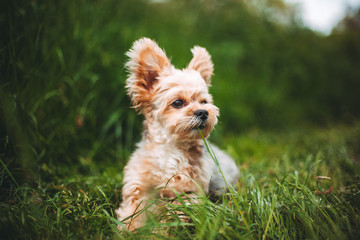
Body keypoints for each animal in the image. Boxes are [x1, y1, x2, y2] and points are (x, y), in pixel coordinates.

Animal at [115, 37, 239, 231]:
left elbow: (170, 219)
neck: (170, 150)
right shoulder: (139, 188)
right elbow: (133, 213)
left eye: (204, 102)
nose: (203, 112)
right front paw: (129, 231)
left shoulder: (185, 194)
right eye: (178, 103)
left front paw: (157, 233)